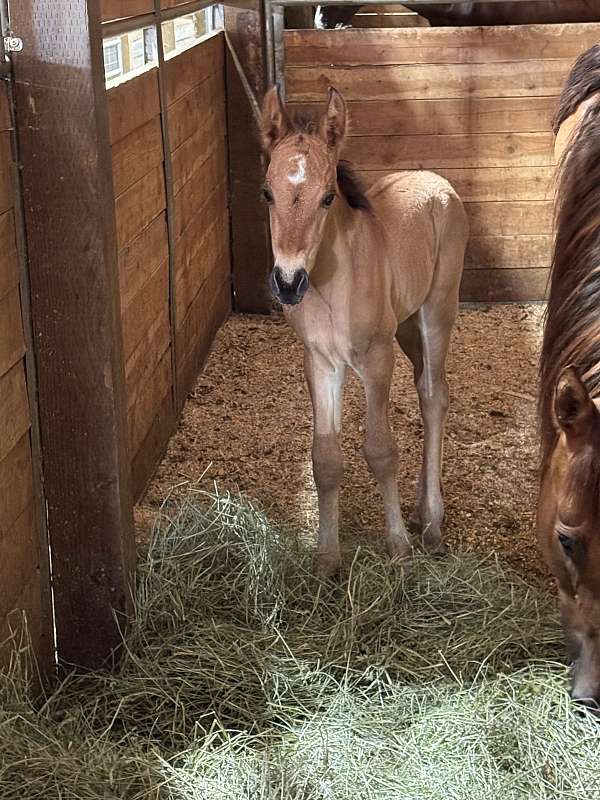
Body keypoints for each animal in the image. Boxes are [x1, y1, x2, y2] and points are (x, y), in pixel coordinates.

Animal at [260, 85, 468, 576]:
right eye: (267, 193)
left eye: (327, 197)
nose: (288, 282)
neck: (334, 284)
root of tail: (436, 181)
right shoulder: (320, 363)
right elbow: (325, 459)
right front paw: (326, 560)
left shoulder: (376, 358)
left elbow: (380, 450)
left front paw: (399, 550)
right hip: (406, 326)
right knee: (426, 387)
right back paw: (422, 507)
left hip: (436, 312)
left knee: (434, 396)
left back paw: (431, 524)